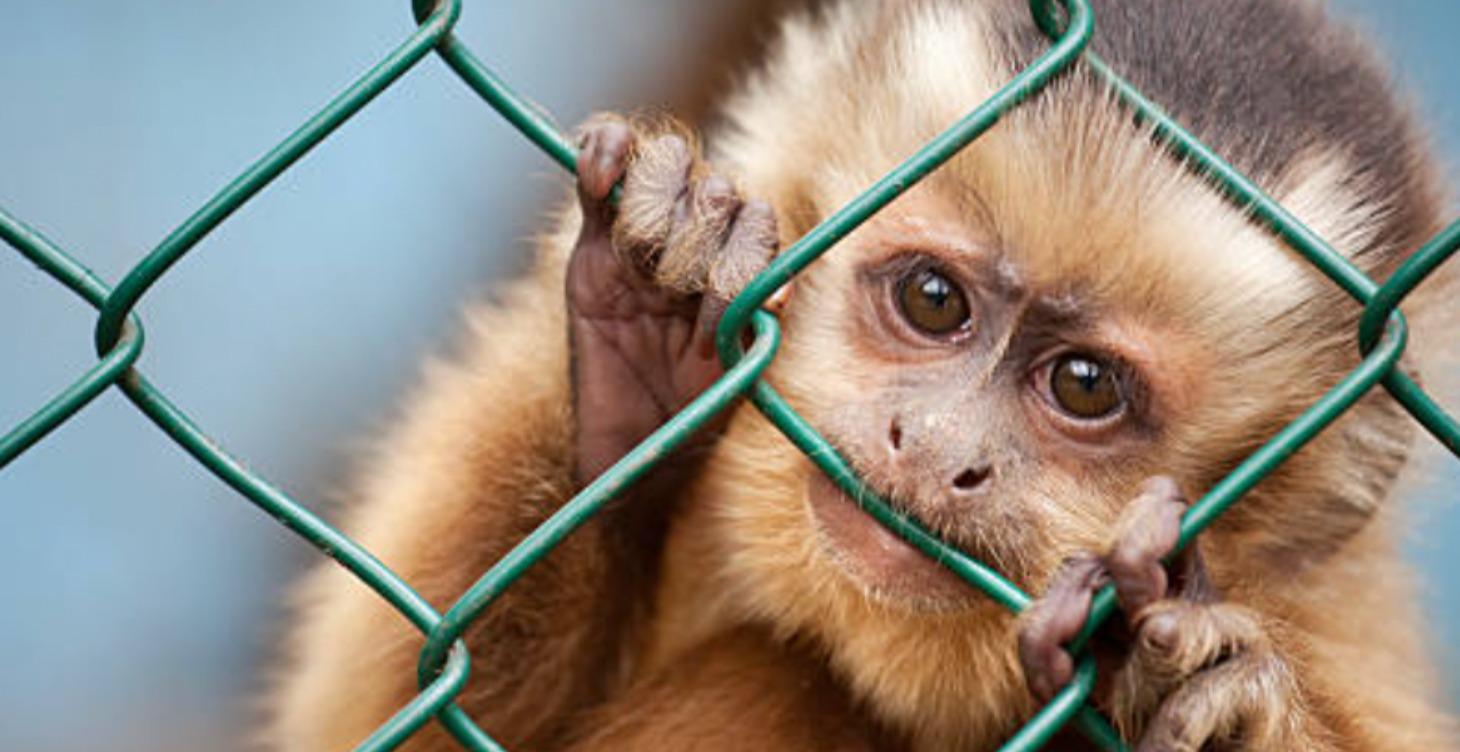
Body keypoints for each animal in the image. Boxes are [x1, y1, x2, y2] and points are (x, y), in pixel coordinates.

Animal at [267, 0, 1460, 750]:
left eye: (1084, 385)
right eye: (933, 300)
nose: (936, 449)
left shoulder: (1333, 615)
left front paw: (1217, 695)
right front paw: (636, 361)